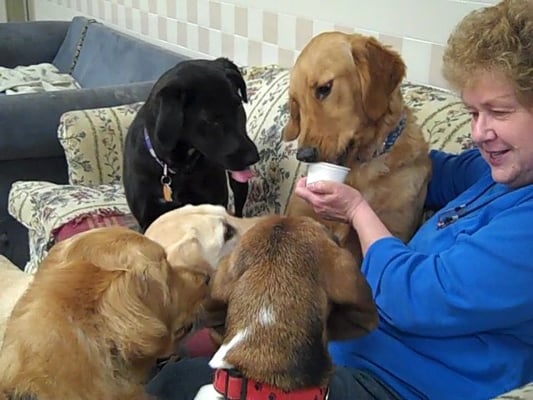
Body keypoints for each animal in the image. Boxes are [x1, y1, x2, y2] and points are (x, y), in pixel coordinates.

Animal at [284, 32, 430, 262]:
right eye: (296, 103)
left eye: (324, 89)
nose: (304, 155)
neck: (359, 168)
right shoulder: (298, 217)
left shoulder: (394, 229)